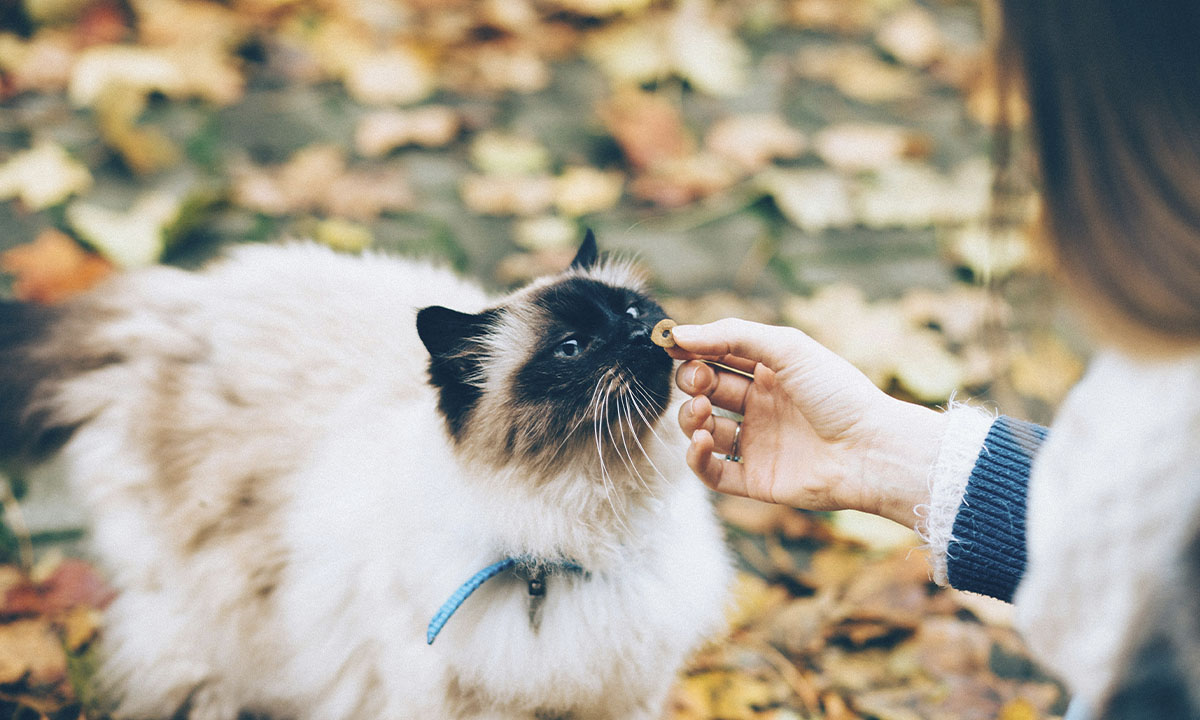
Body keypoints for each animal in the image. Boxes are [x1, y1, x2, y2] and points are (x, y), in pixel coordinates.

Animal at [0, 235, 729, 720]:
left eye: (632, 313)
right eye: (573, 349)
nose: (642, 336)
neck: (586, 539)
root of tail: (174, 302)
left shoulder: (627, 697)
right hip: (207, 616)